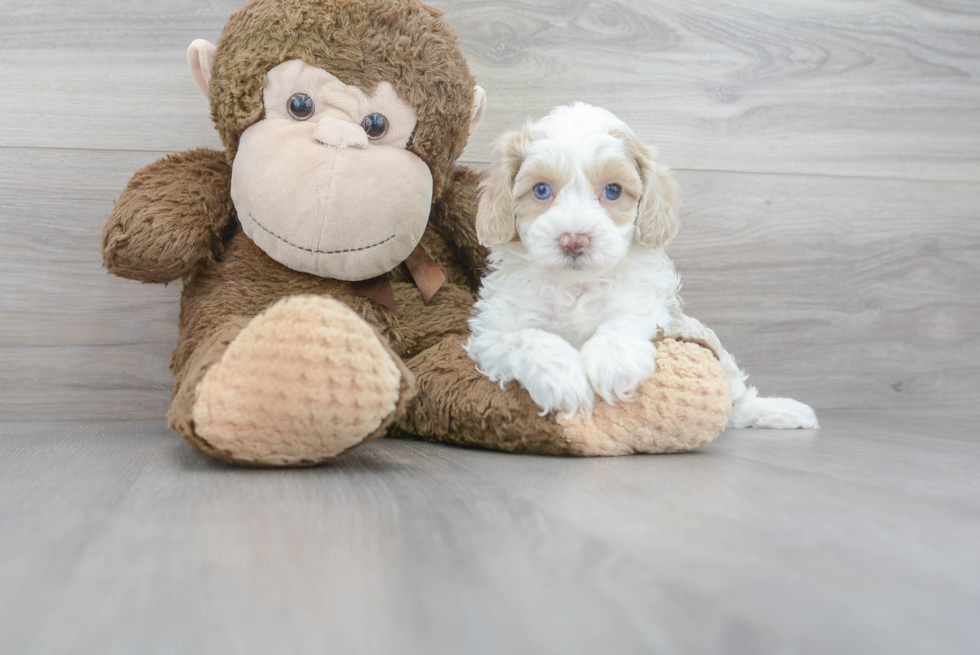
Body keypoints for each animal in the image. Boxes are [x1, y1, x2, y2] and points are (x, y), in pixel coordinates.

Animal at [468, 102, 820, 430]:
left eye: (613, 190)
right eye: (541, 190)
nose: (574, 240)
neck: (576, 285)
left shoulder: (648, 303)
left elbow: (626, 318)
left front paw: (613, 363)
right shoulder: (493, 332)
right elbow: (525, 337)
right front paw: (562, 377)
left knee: (738, 400)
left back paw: (777, 411)